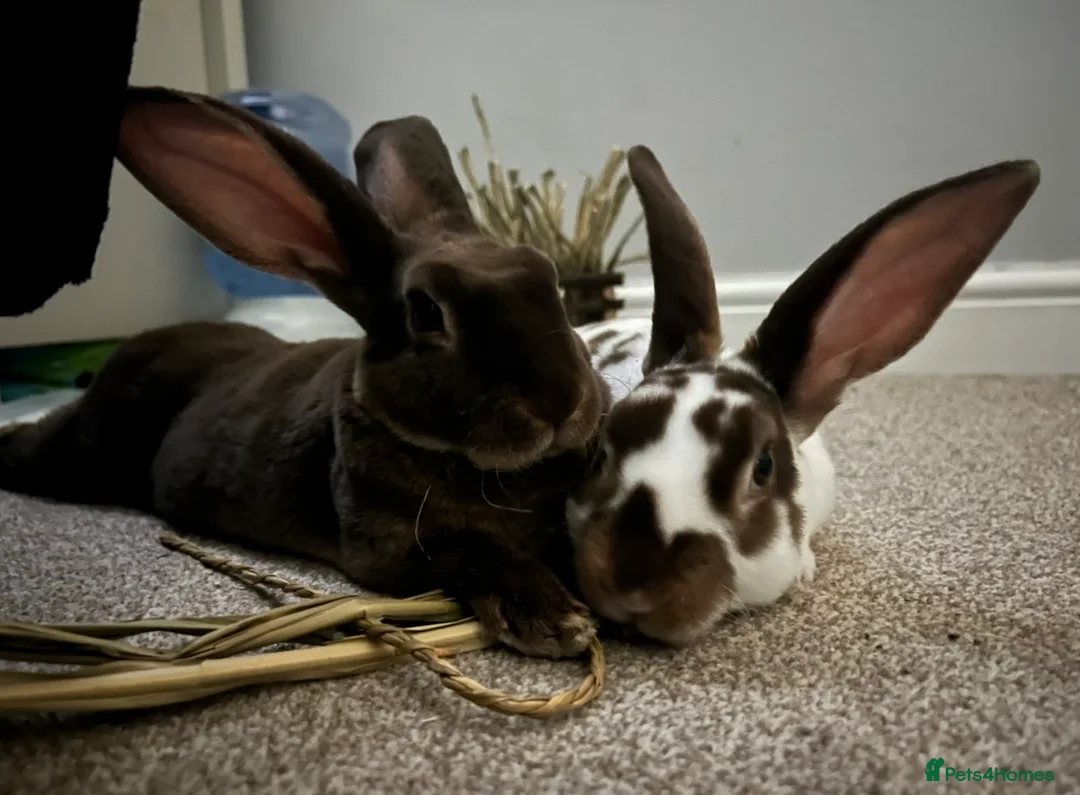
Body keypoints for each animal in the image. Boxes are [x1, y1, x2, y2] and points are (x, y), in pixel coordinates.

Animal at [0, 86, 612, 659]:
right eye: (425, 312)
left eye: (547, 276)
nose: (561, 402)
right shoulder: (395, 546)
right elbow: (474, 553)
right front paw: (556, 621)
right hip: (83, 451)